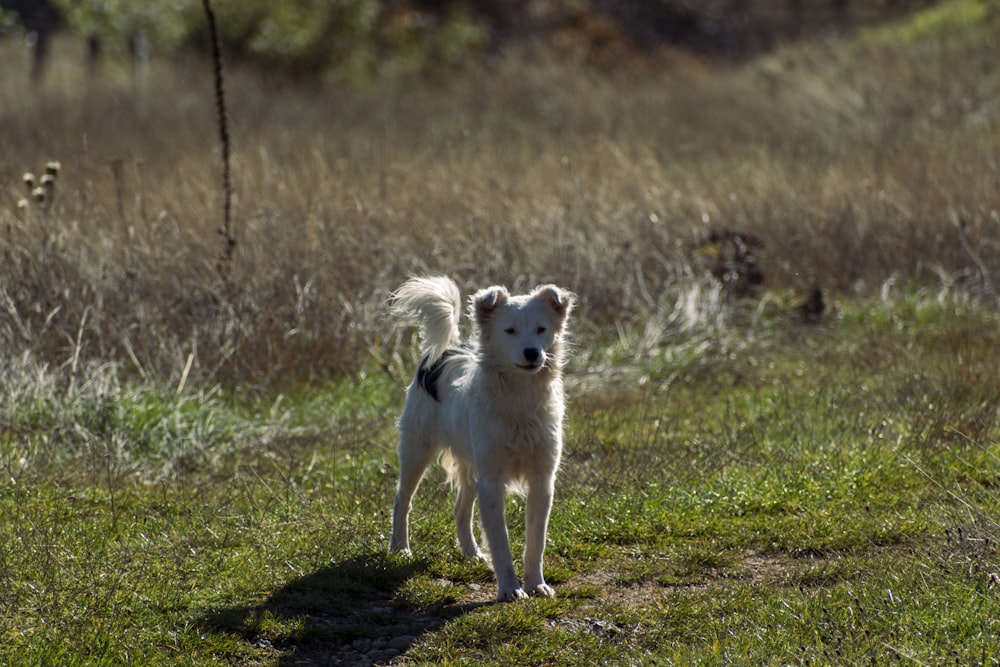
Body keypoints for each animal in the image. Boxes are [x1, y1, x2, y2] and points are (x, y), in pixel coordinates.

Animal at [390, 274, 580, 604]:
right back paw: (399, 548)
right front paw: (509, 588)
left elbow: (536, 541)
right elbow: (500, 540)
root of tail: (448, 349)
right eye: (510, 330)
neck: (519, 399)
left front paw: (536, 584)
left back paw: (470, 552)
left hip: (469, 466)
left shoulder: (542, 479)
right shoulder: (491, 480)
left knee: (460, 509)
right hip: (417, 450)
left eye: (541, 329)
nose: (532, 353)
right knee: (402, 500)